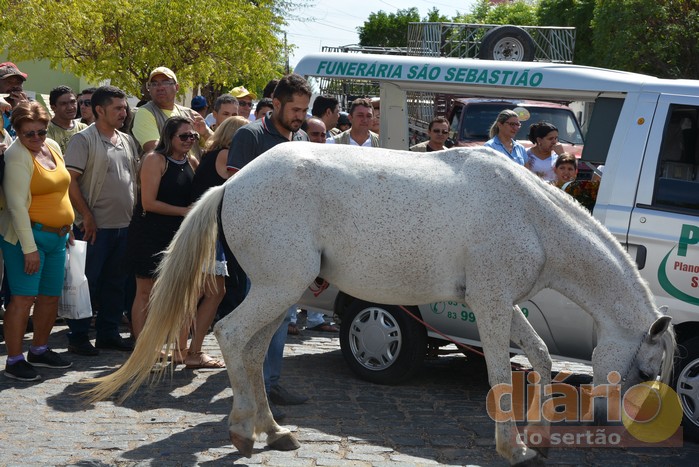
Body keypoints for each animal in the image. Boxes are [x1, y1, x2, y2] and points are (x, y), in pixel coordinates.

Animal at [85, 143, 675, 465]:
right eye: (649, 367)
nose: (638, 424)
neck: (530, 213)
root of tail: (231, 186)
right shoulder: (491, 305)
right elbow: (501, 375)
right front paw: (513, 449)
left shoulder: (502, 304)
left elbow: (543, 359)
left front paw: (540, 441)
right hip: (279, 288)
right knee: (230, 336)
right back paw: (242, 433)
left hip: (279, 291)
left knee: (252, 352)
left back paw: (273, 432)